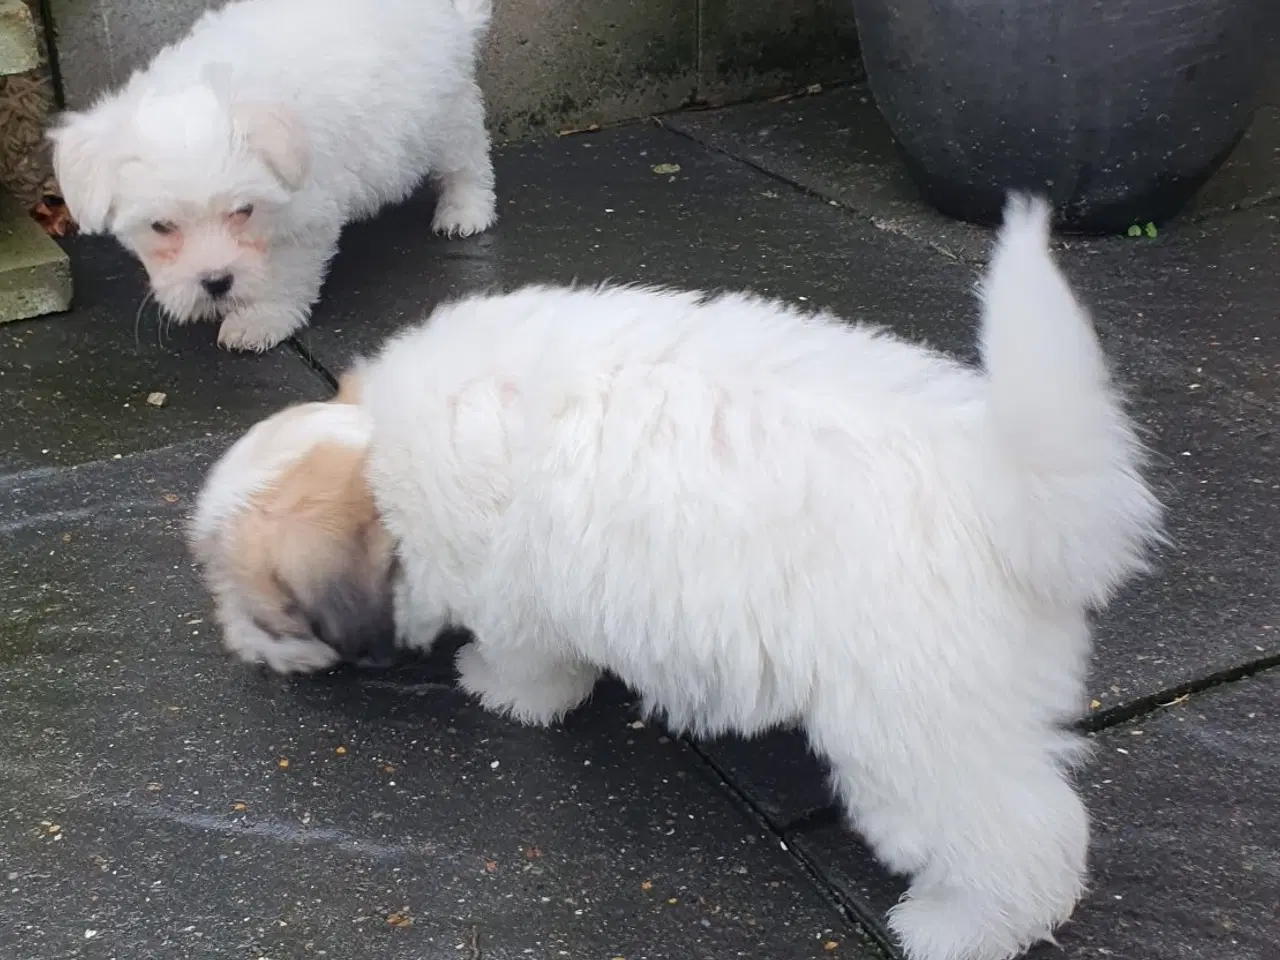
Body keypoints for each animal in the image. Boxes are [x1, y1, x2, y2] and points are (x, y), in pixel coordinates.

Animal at [47, 0, 494, 353]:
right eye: (161, 226)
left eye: (243, 212)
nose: (216, 282)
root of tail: (453, 18)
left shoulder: (305, 216)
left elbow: (285, 272)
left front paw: (259, 320)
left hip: (441, 117)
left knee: (469, 158)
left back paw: (465, 210)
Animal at [192, 199, 1172, 960]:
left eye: (265, 614)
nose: (235, 645)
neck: (383, 460)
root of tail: (1004, 487)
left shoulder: (516, 595)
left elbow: (529, 664)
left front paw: (496, 690)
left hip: (914, 729)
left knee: (1017, 837)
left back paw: (957, 928)